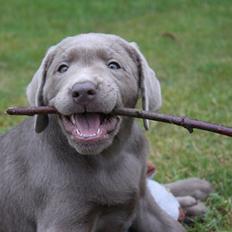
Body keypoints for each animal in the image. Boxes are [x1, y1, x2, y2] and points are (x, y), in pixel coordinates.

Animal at [0, 33, 212, 232]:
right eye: (62, 68)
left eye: (113, 65)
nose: (82, 90)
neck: (109, 157)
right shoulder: (64, 220)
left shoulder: (143, 203)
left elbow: (171, 226)